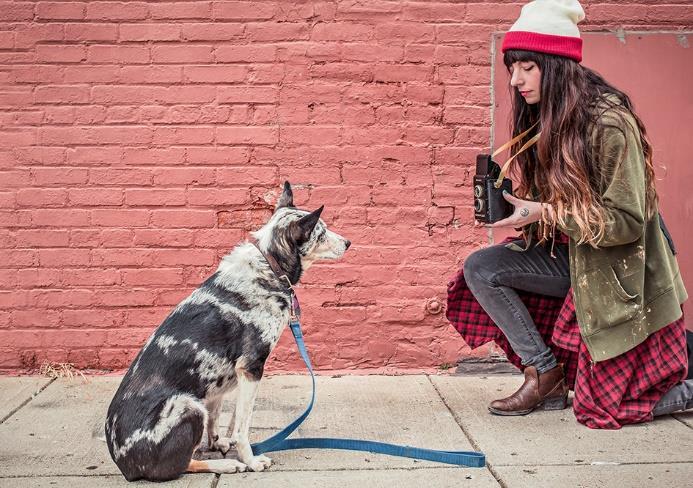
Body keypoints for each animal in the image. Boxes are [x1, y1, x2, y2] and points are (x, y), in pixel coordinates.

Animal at [104, 182, 348, 480]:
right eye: (321, 233)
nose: (348, 243)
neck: (271, 265)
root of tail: (125, 465)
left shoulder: (221, 383)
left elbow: (222, 417)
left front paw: (218, 443)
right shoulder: (251, 368)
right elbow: (242, 426)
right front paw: (250, 460)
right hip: (188, 406)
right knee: (180, 465)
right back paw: (226, 465)